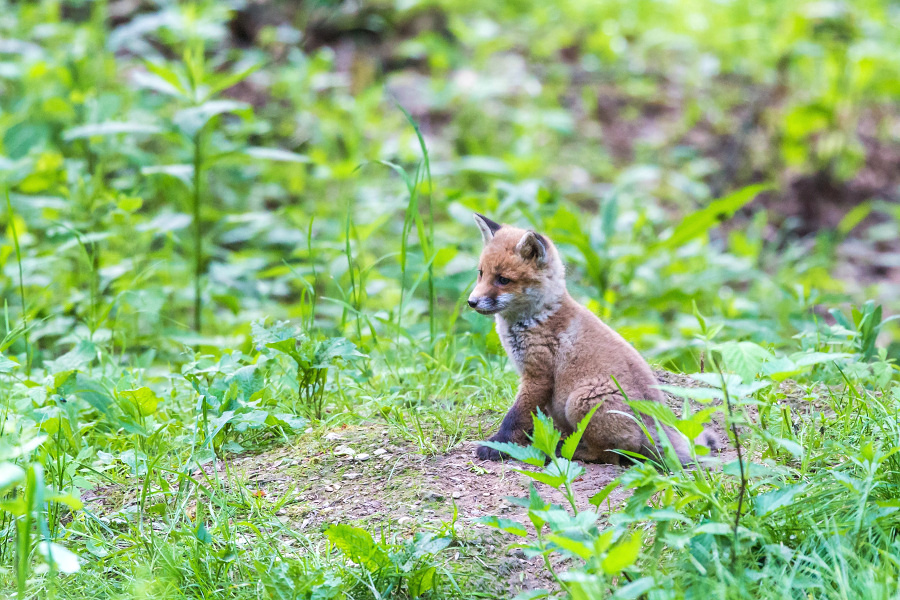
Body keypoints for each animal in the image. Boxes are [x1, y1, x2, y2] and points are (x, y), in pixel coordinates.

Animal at [468, 213, 720, 466]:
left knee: (608, 455)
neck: (538, 317)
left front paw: (497, 446)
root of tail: (655, 427)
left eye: (503, 280)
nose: (471, 302)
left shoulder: (538, 377)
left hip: (579, 401)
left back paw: (562, 450)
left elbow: (516, 417)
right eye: (481, 273)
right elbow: (535, 418)